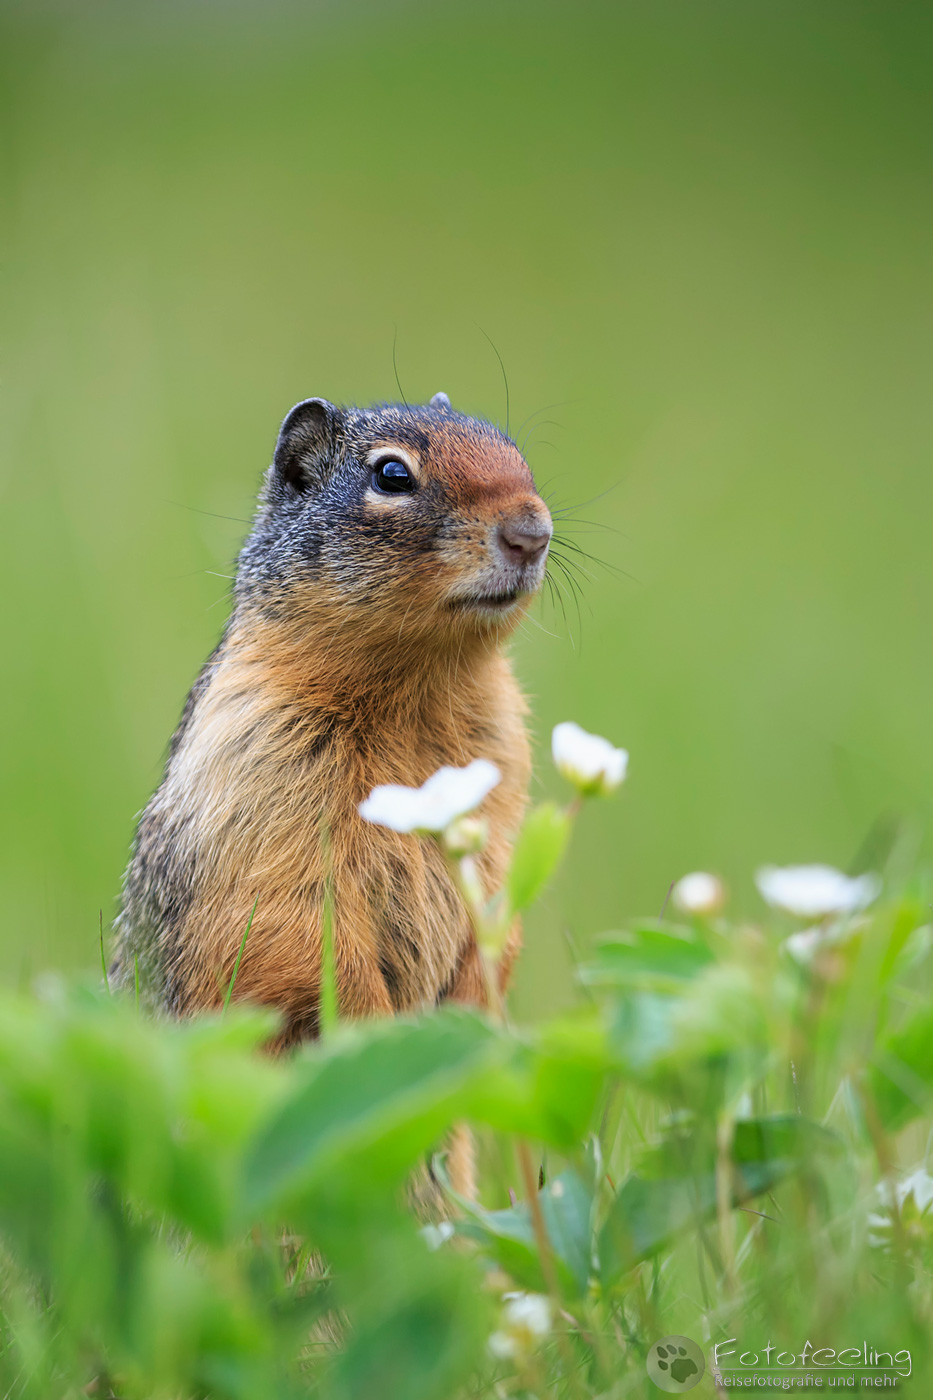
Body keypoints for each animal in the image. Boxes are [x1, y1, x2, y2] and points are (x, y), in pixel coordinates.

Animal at [113, 393, 553, 1049]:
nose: (533, 533)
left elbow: (499, 907)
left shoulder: (500, 774)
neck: (417, 688)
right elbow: (302, 937)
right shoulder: (265, 774)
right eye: (392, 475)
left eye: (514, 451)